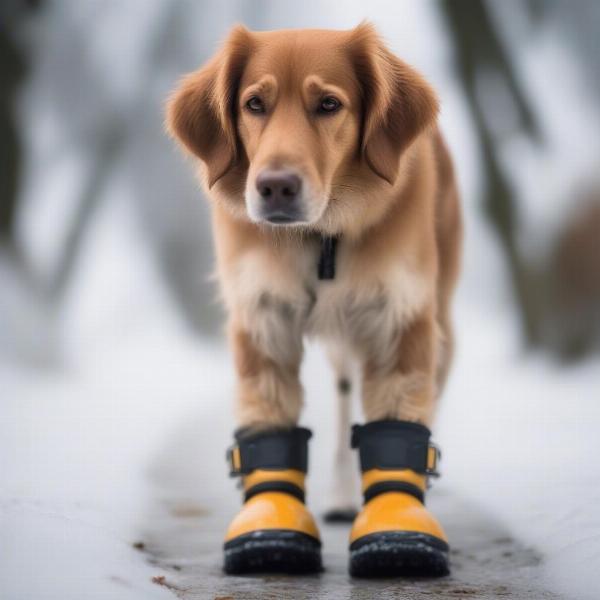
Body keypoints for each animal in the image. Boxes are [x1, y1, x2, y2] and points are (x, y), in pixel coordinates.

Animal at [166, 22, 462, 576]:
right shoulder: (261, 315)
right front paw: (270, 528)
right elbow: (268, 422)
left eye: (328, 104)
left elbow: (398, 422)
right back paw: (342, 498)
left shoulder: (401, 317)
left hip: (439, 326)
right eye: (254, 104)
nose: (276, 187)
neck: (322, 235)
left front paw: (397, 528)